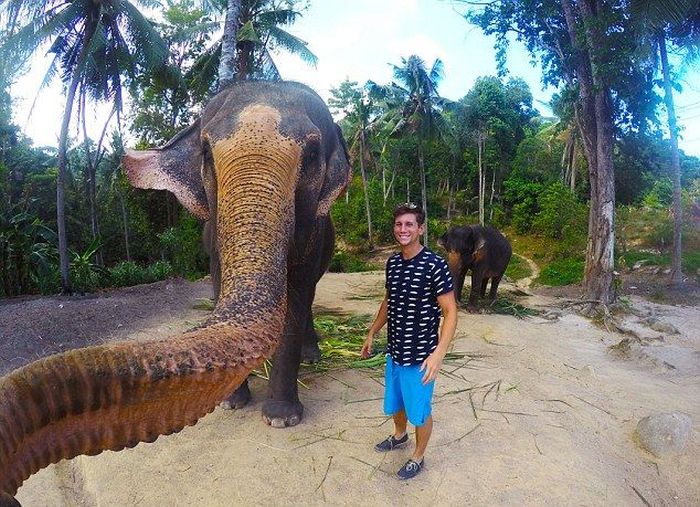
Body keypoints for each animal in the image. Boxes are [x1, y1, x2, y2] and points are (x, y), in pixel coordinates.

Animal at [0, 81, 350, 506]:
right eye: (206, 152)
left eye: (312, 154)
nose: (10, 493)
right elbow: (218, 284)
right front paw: (232, 403)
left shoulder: (312, 232)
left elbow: (296, 295)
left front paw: (281, 419)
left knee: (311, 295)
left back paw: (312, 357)